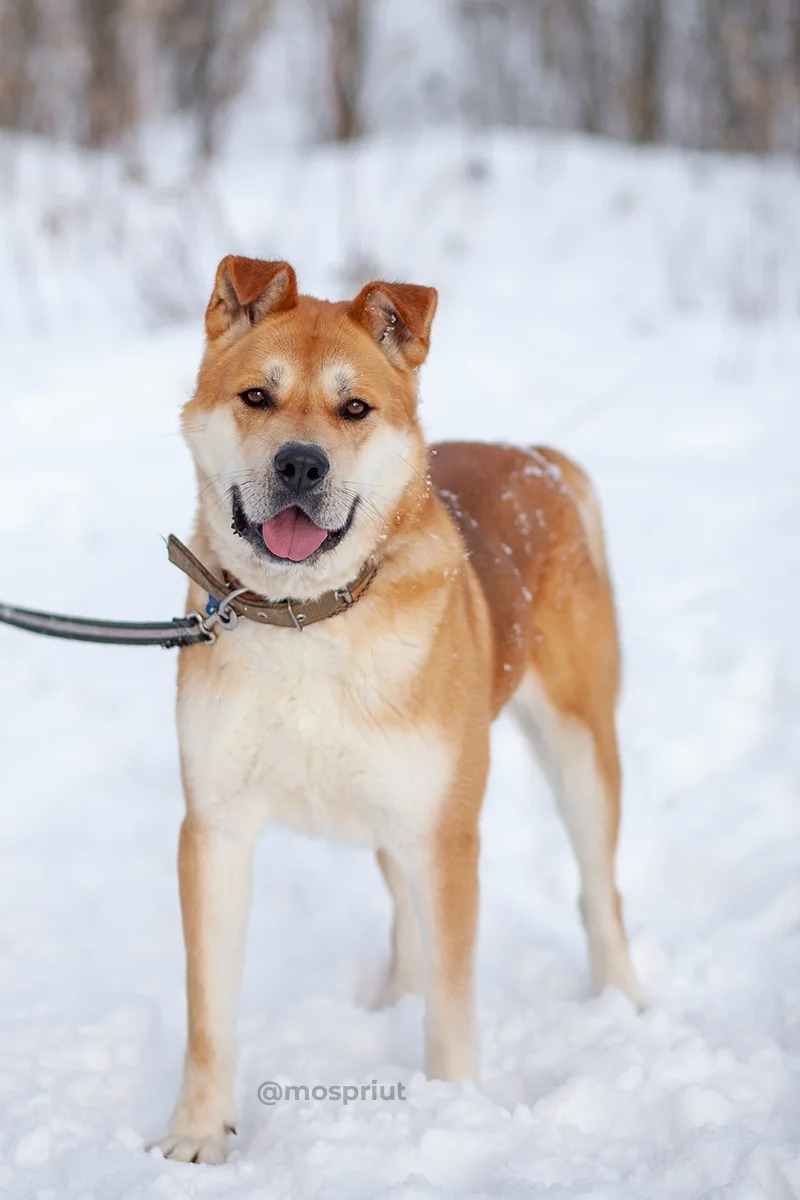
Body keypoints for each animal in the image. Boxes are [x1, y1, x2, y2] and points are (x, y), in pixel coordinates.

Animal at [148, 255, 638, 1161]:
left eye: (355, 408)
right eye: (257, 396)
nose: (301, 465)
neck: (307, 619)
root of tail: (534, 456)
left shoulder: (446, 833)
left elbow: (453, 1009)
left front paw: (453, 1118)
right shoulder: (216, 829)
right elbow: (210, 1012)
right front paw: (197, 1136)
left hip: (577, 746)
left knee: (599, 894)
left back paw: (626, 1003)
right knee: (407, 917)